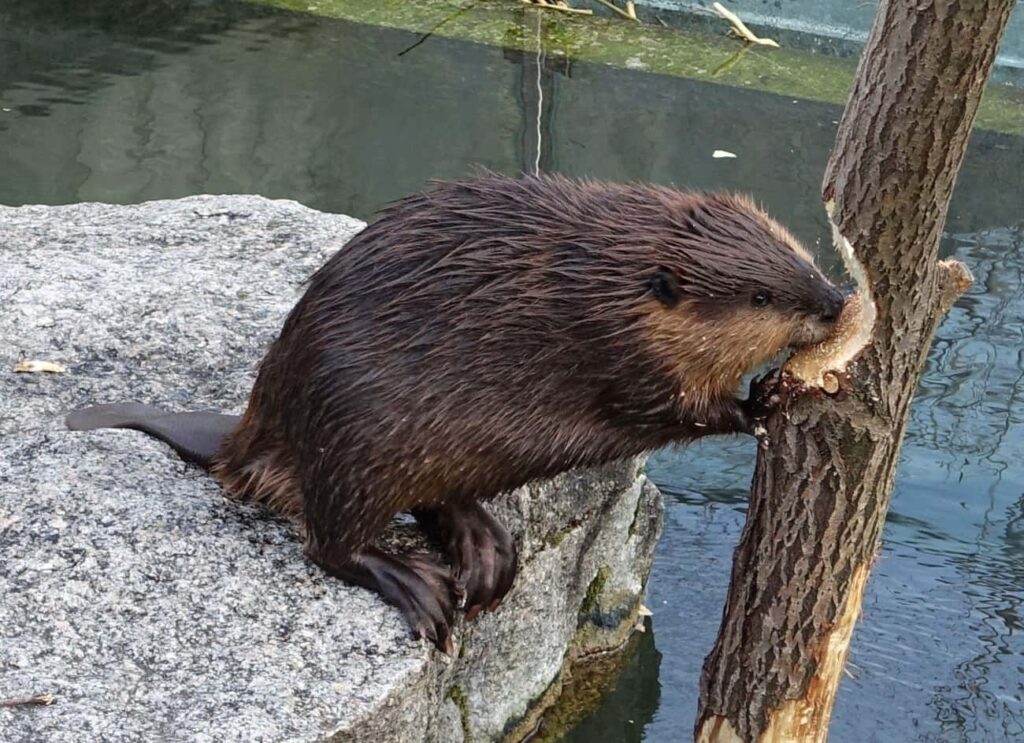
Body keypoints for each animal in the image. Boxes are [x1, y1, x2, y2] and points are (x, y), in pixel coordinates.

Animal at [68, 171, 843, 654]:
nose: (836, 300)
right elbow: (667, 404)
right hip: (356, 445)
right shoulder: (612, 348)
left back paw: (487, 552)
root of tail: (245, 438)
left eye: (797, 255)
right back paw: (420, 584)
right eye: (760, 297)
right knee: (330, 542)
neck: (597, 279)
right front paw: (763, 401)